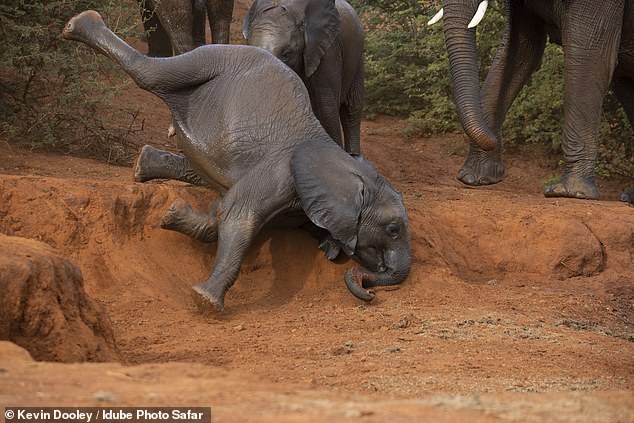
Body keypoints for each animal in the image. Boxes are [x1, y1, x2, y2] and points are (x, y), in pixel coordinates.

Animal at [430, 0, 632, 203]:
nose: (493, 138)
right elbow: (519, 51)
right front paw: (474, 178)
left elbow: (590, 58)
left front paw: (568, 192)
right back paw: (629, 196)